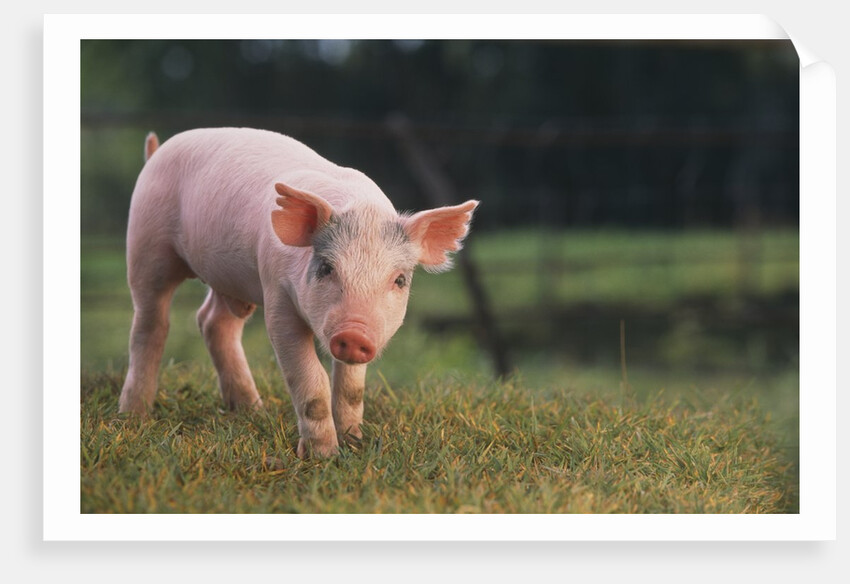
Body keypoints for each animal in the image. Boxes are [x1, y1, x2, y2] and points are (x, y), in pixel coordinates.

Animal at [117, 127, 478, 458]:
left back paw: (252, 409)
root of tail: (157, 151)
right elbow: (310, 376)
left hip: (230, 279)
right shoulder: (275, 292)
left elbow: (352, 387)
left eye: (400, 280)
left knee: (213, 321)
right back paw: (134, 416)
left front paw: (354, 442)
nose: (354, 334)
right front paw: (323, 457)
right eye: (326, 268)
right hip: (146, 242)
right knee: (150, 322)